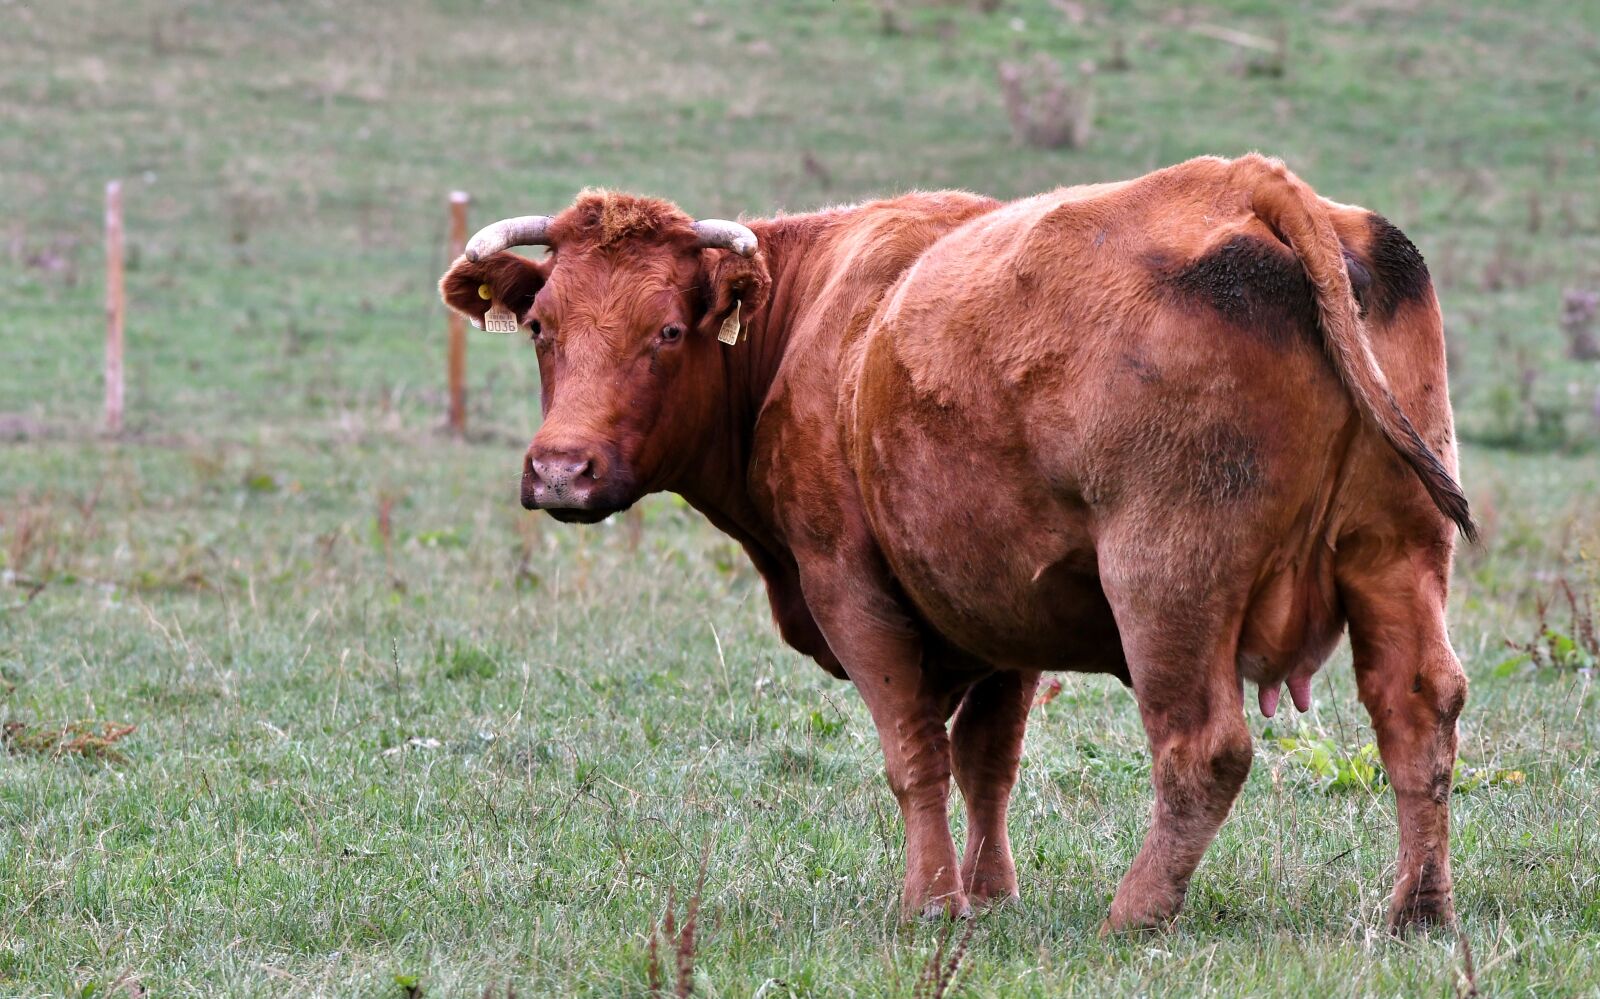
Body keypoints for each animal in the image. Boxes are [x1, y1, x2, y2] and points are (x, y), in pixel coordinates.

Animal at [439, 154, 1474, 934]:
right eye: (542, 326)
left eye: (666, 329)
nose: (561, 470)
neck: (821, 318)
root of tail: (1248, 182)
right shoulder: (1002, 604)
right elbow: (986, 760)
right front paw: (991, 891)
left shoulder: (851, 588)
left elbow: (915, 755)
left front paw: (933, 902)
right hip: (1396, 554)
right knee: (1417, 709)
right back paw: (1415, 908)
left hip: (1167, 583)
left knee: (1202, 748)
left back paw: (1133, 913)